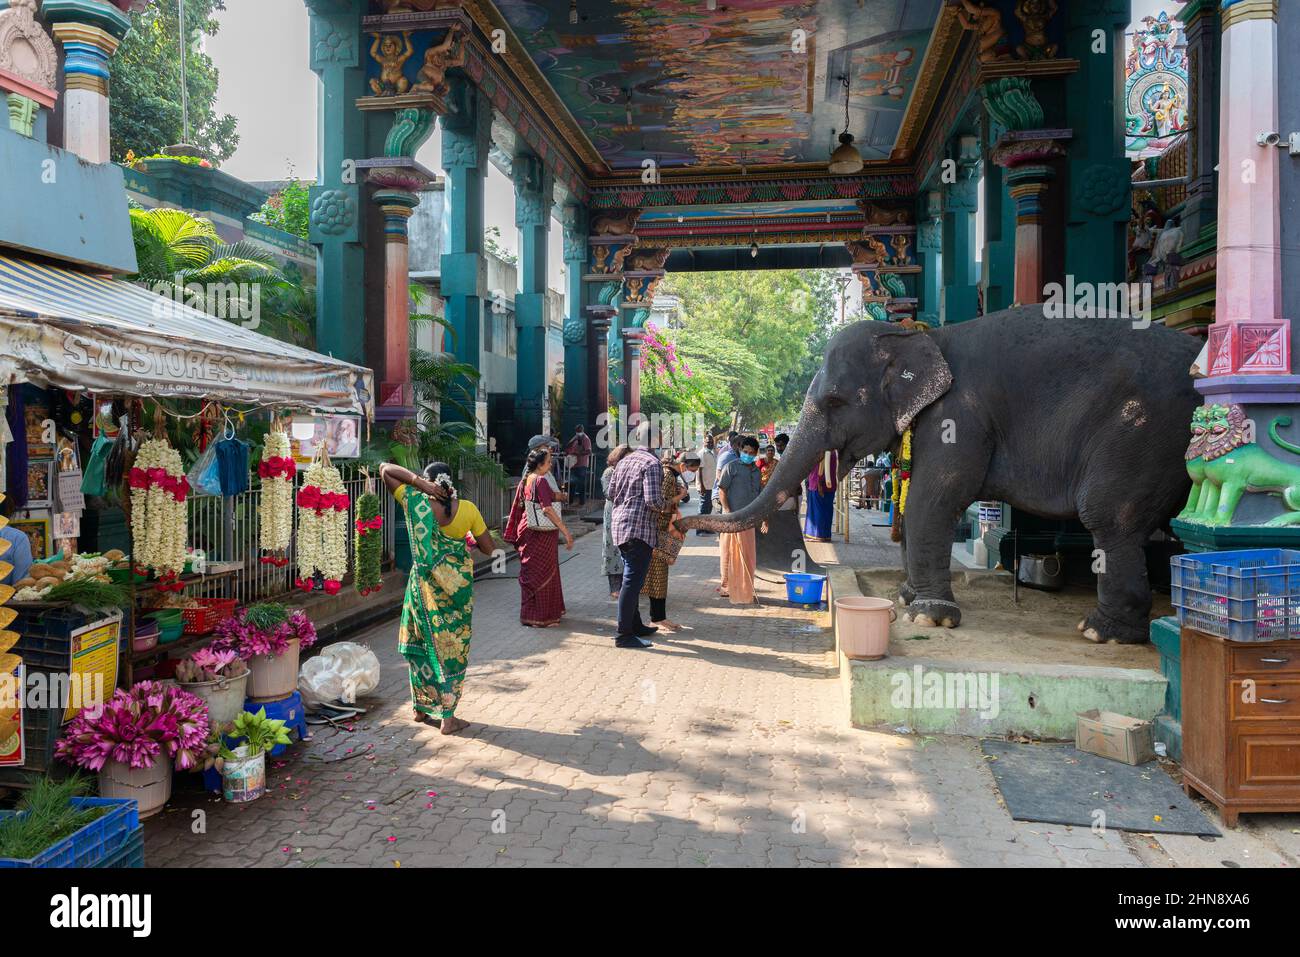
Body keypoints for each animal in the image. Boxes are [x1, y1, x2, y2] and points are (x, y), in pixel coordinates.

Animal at [686, 308, 1201, 642]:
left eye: (834, 400)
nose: (681, 520)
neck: (920, 335)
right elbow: (918, 496)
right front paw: (906, 599)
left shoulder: (959, 415)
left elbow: (931, 499)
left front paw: (930, 617)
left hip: (1146, 431)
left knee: (1108, 514)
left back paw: (1102, 633)